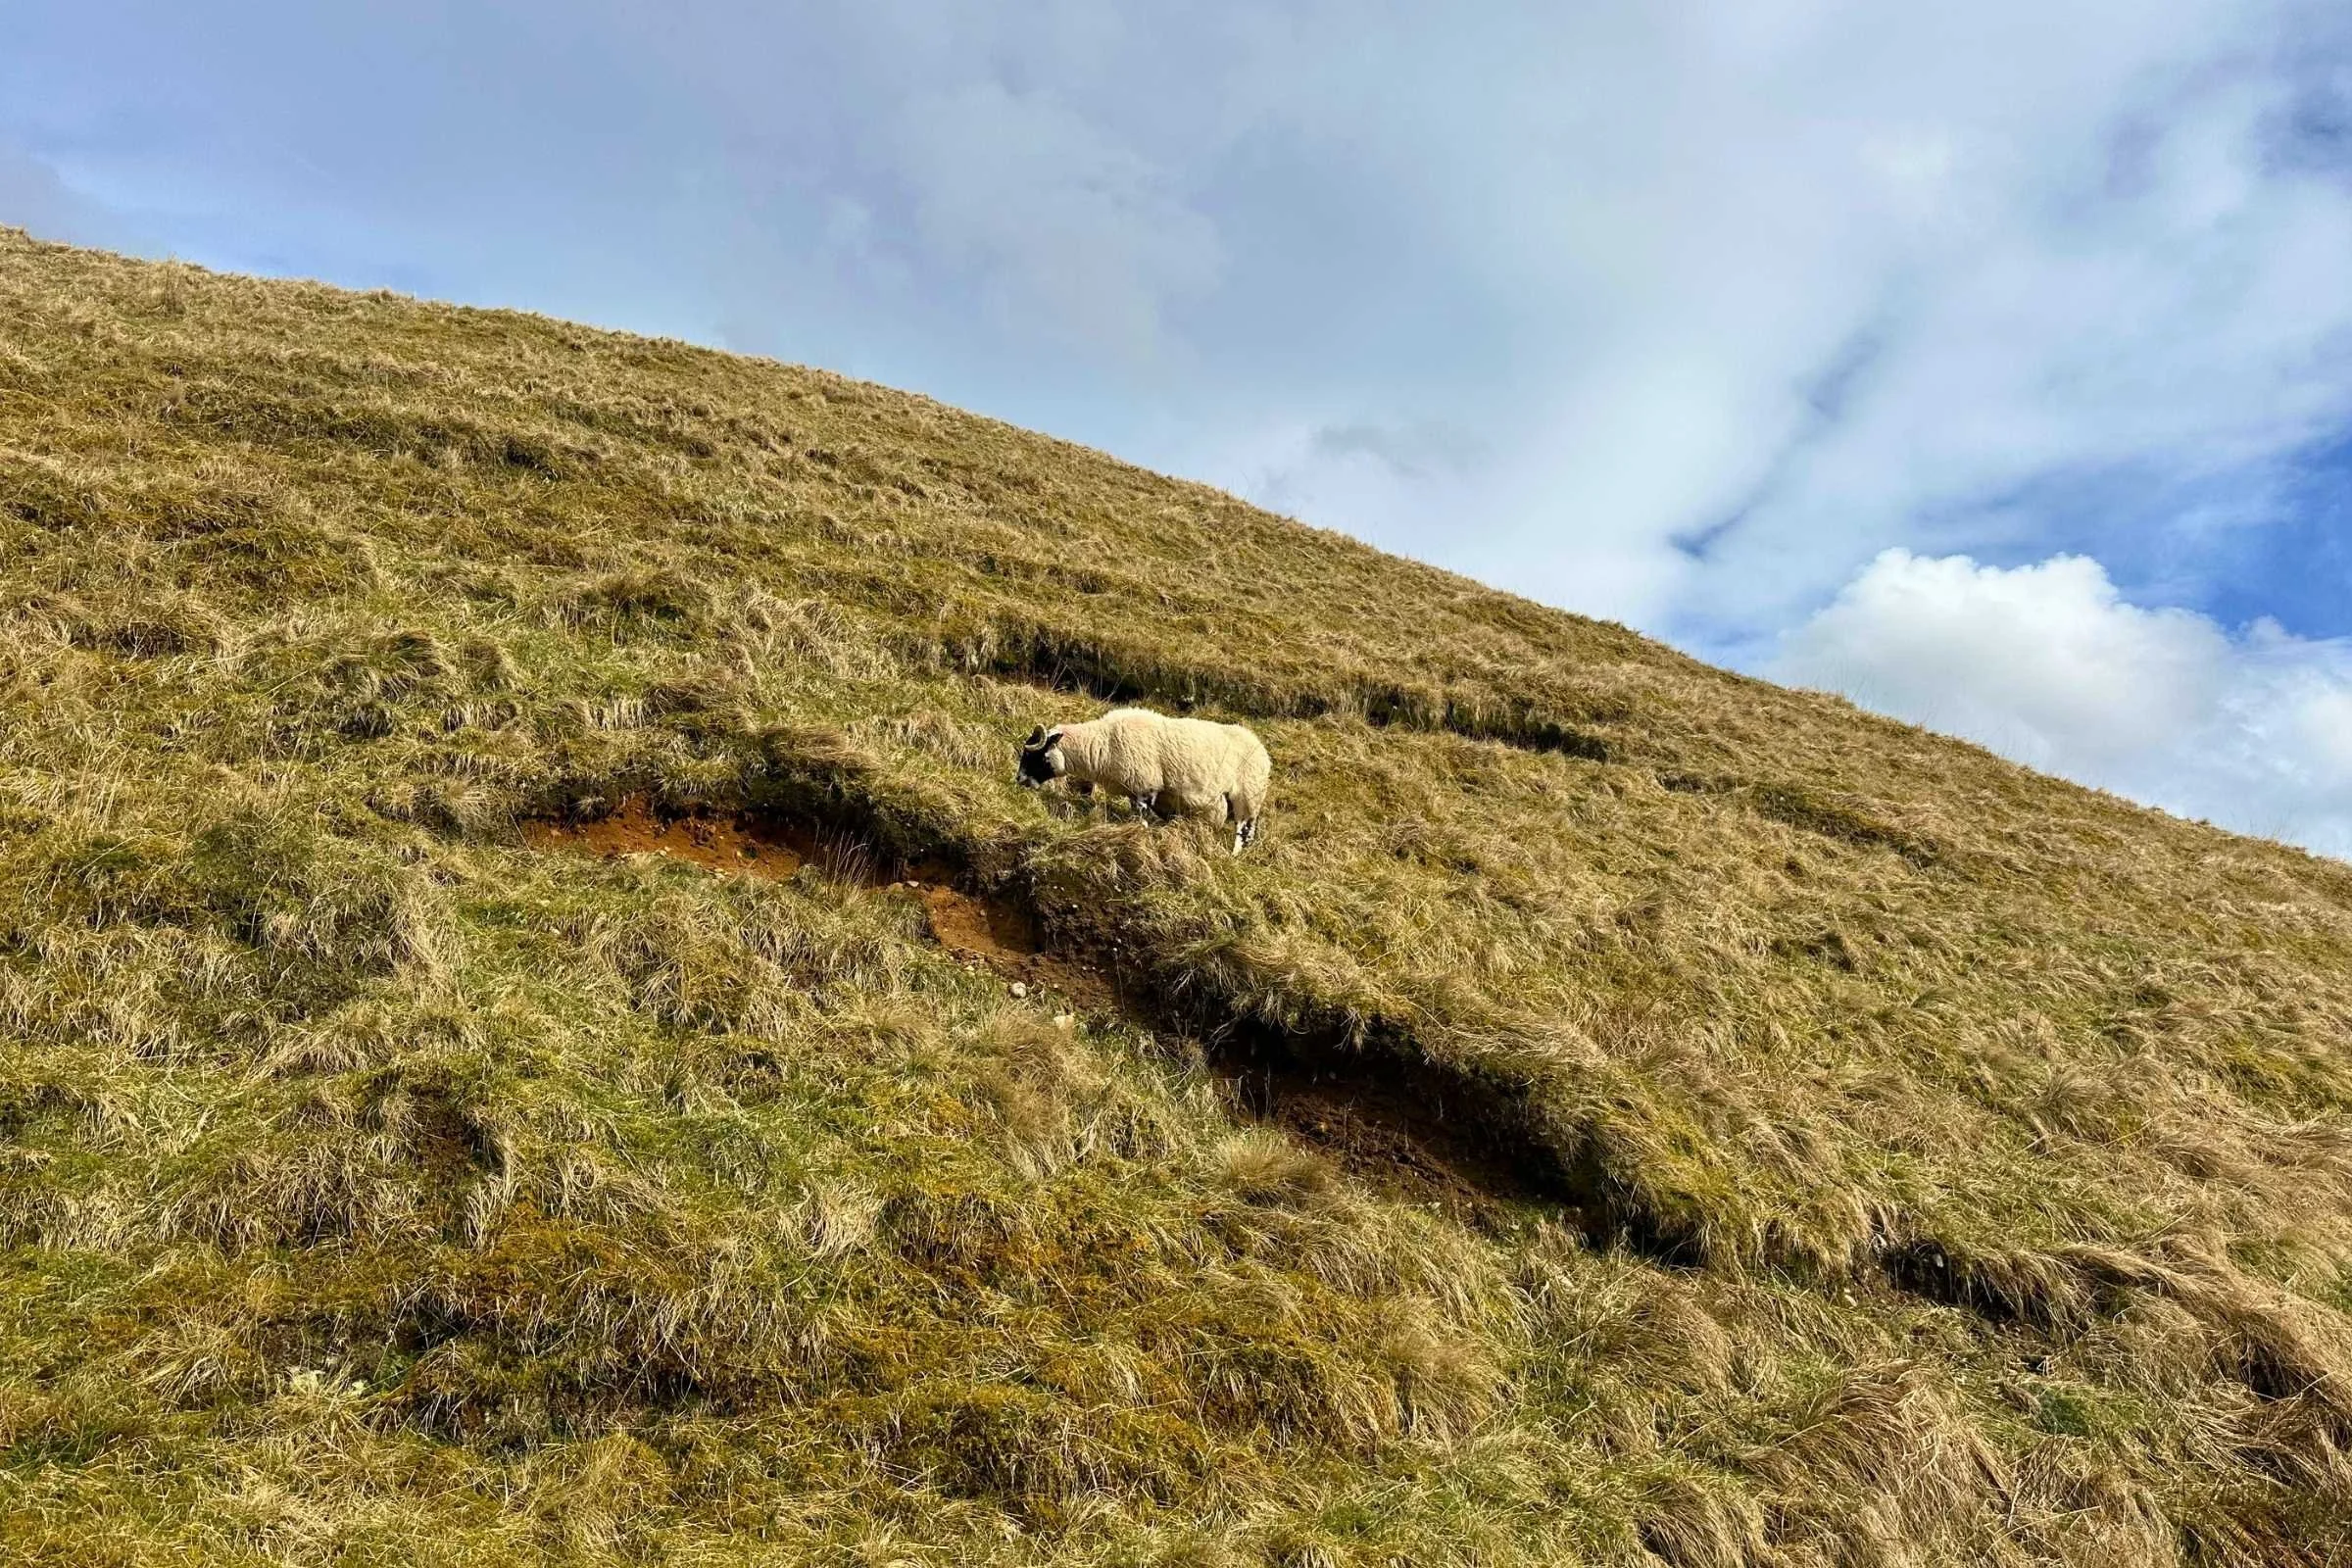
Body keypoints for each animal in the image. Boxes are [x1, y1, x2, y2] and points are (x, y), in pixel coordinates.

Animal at [1016, 707, 1272, 852]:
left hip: (1248, 797)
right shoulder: (1136, 789)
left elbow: (1142, 818)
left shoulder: (1145, 786)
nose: (1019, 779)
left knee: (1245, 831)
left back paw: (1235, 856)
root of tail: (1261, 748)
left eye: (1033, 754)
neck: (1102, 743)